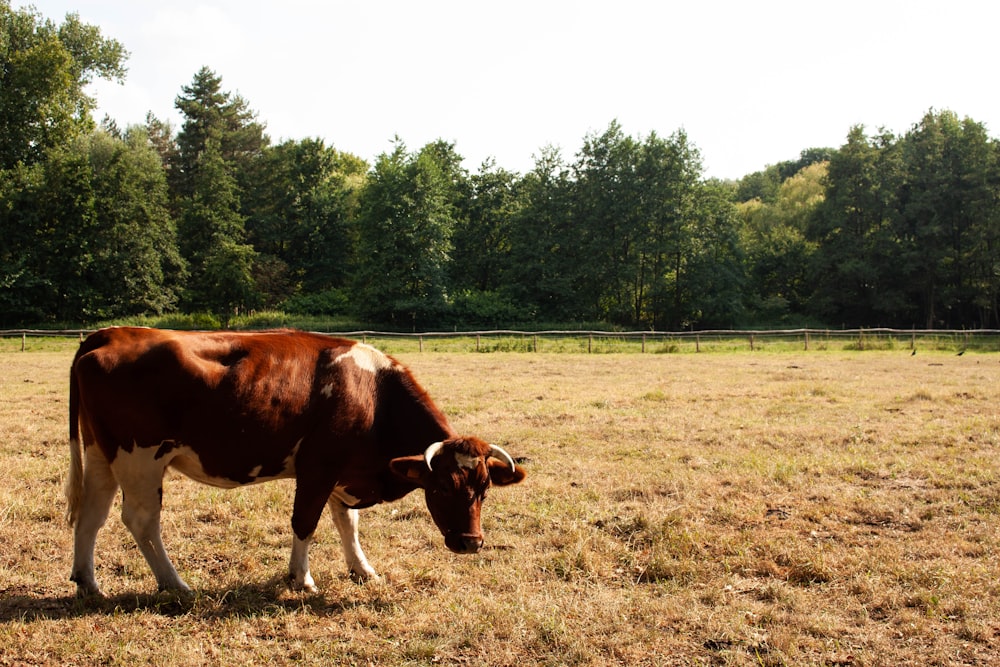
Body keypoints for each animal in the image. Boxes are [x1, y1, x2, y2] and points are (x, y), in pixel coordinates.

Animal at [65, 328, 528, 596]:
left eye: (485, 490)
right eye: (442, 487)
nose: (471, 543)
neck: (373, 393)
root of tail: (109, 333)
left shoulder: (345, 472)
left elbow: (347, 523)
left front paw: (362, 570)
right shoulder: (317, 467)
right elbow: (306, 523)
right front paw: (301, 578)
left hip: (100, 453)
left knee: (92, 515)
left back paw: (88, 582)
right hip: (140, 458)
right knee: (141, 521)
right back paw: (175, 584)